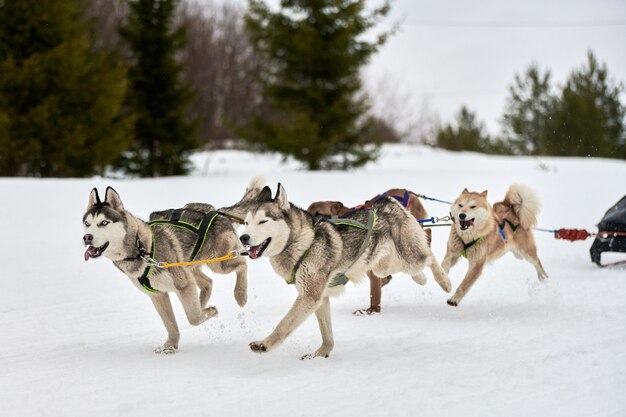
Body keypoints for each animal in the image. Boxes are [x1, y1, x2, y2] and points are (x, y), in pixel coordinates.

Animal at [82, 187, 246, 352]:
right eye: (87, 223)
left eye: (104, 222)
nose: (87, 237)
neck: (141, 250)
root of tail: (217, 211)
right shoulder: (157, 295)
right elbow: (171, 324)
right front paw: (170, 346)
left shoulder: (183, 285)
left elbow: (193, 317)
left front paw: (211, 311)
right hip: (190, 268)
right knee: (208, 282)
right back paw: (202, 303)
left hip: (218, 263)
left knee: (242, 263)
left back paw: (240, 295)